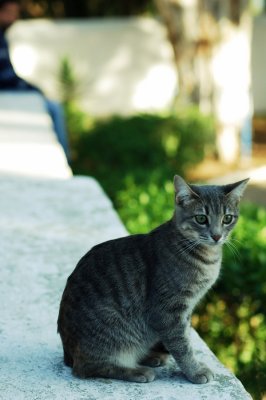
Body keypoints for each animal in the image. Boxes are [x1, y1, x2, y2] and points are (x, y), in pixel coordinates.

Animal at [57, 175, 248, 384]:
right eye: (201, 218)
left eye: (227, 218)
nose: (216, 236)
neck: (207, 258)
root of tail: (68, 354)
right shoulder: (168, 311)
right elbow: (182, 345)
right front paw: (195, 370)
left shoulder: (186, 310)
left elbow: (184, 337)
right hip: (111, 330)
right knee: (87, 367)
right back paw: (137, 371)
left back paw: (151, 357)